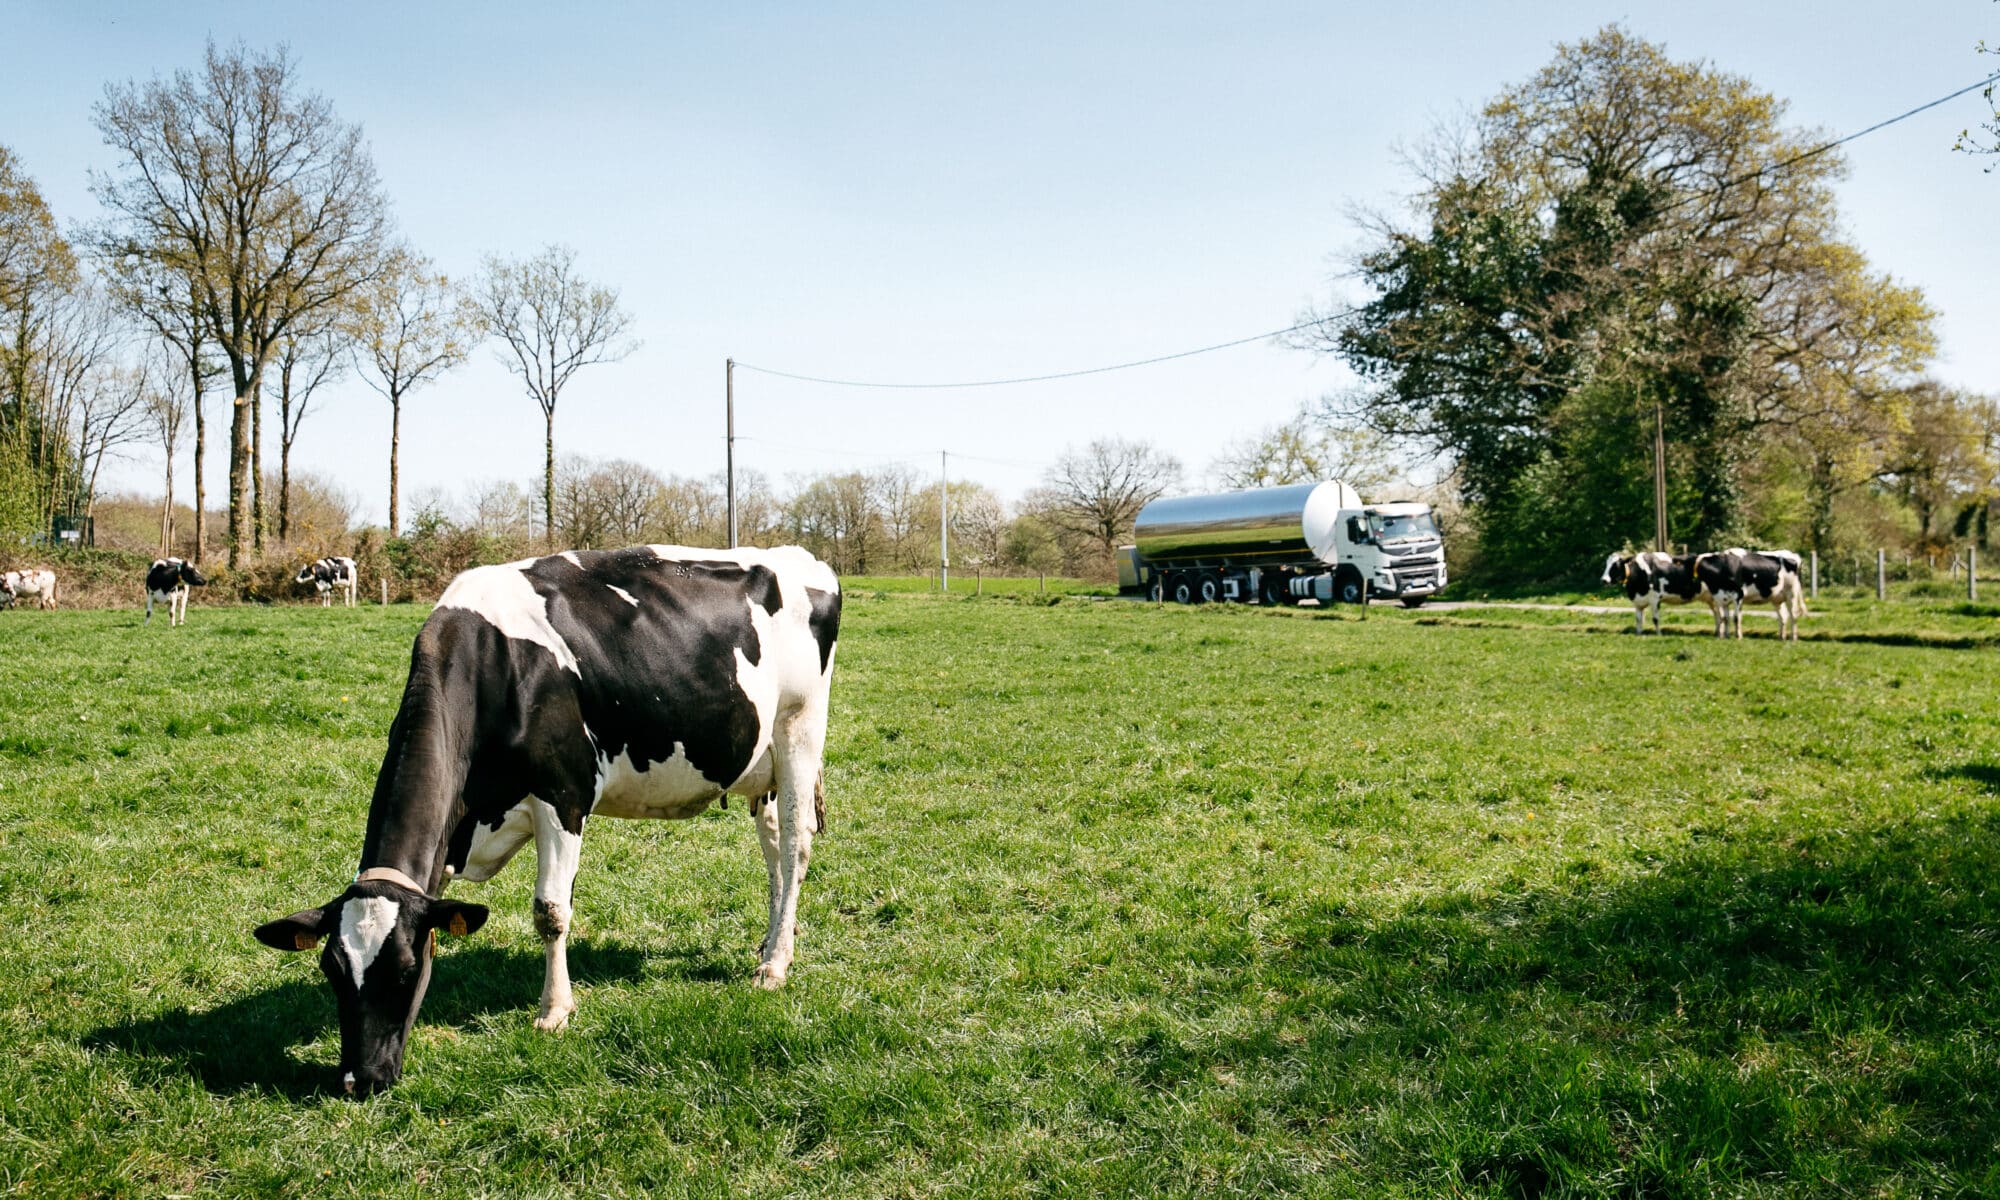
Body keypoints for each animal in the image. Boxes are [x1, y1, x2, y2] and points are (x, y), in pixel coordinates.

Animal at [254, 544, 842, 1095]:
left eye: (403, 968)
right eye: (332, 970)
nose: (361, 1080)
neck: (494, 666)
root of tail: (800, 557)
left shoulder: (564, 796)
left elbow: (551, 912)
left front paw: (554, 1011)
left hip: (799, 731)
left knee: (796, 846)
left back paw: (776, 965)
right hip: (761, 765)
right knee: (774, 854)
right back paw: (772, 941)